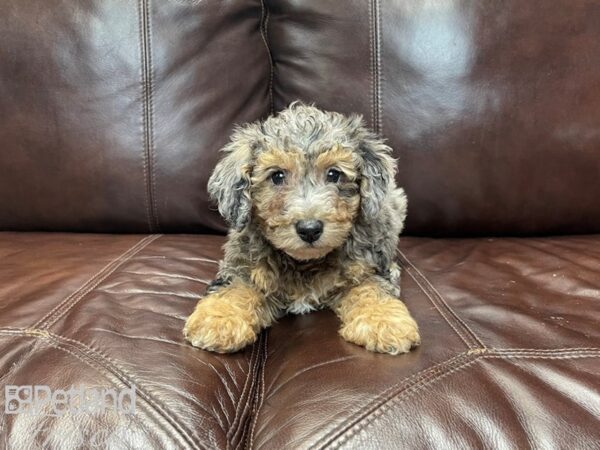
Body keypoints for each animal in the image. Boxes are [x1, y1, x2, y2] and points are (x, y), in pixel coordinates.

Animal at [185, 103, 420, 356]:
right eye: (277, 176)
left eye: (334, 174)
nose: (309, 229)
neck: (304, 262)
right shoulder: (243, 265)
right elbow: (234, 288)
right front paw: (218, 320)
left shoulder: (368, 266)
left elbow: (372, 288)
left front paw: (385, 322)